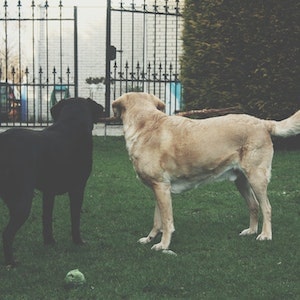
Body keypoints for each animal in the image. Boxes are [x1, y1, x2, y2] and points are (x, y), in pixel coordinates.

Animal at [0, 97, 104, 266]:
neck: (72, 122)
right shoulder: (77, 188)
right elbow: (75, 218)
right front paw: (78, 241)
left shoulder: (49, 192)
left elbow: (47, 218)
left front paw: (49, 242)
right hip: (23, 200)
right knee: (7, 233)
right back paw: (12, 262)